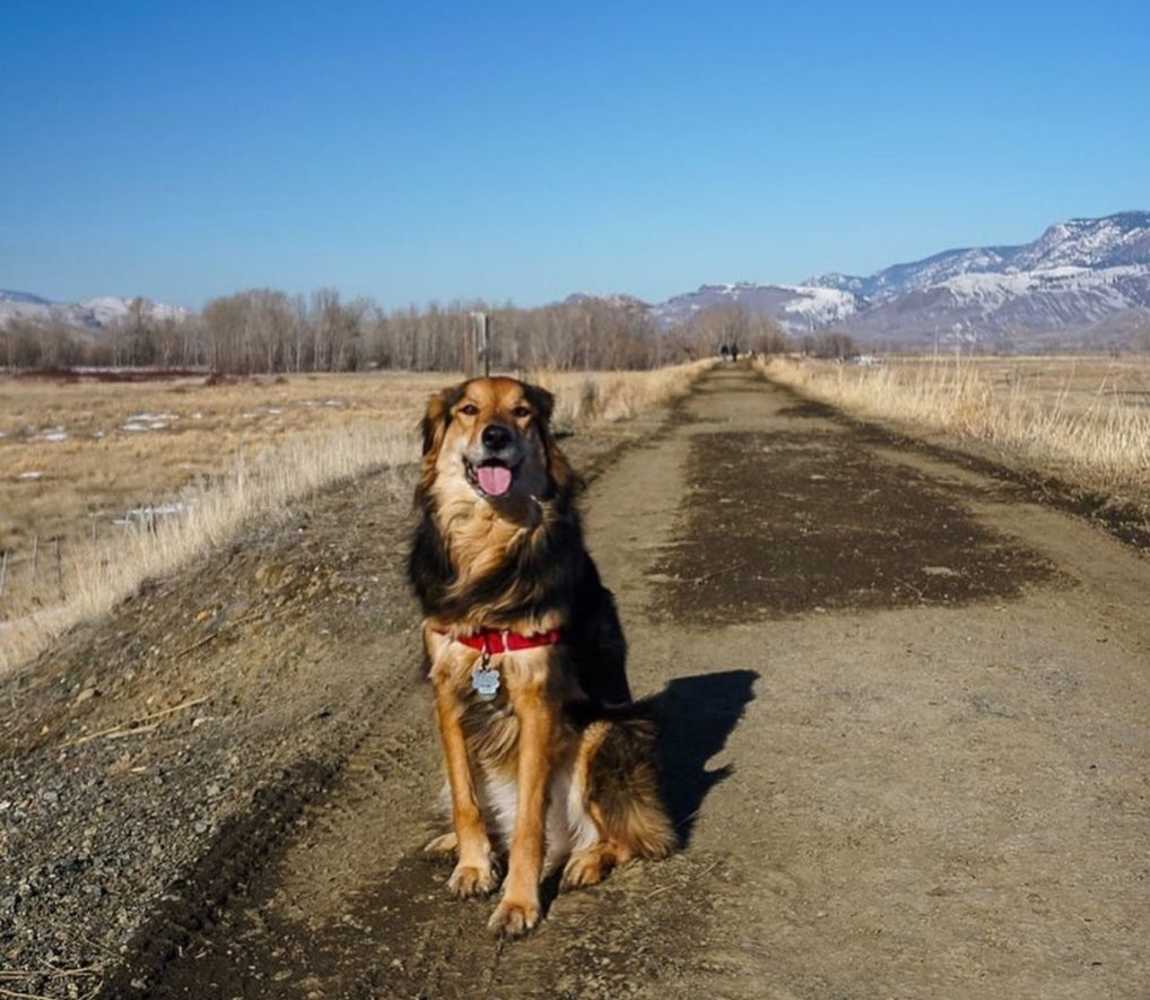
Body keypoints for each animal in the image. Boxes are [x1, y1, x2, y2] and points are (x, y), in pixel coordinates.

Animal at [409, 377, 671, 937]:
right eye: (468, 409)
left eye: (522, 411)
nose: (496, 436)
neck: (489, 537)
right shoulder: (446, 688)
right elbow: (465, 799)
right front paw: (472, 864)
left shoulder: (536, 698)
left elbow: (531, 822)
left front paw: (518, 902)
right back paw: (461, 844)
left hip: (606, 735)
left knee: (636, 838)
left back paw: (585, 860)